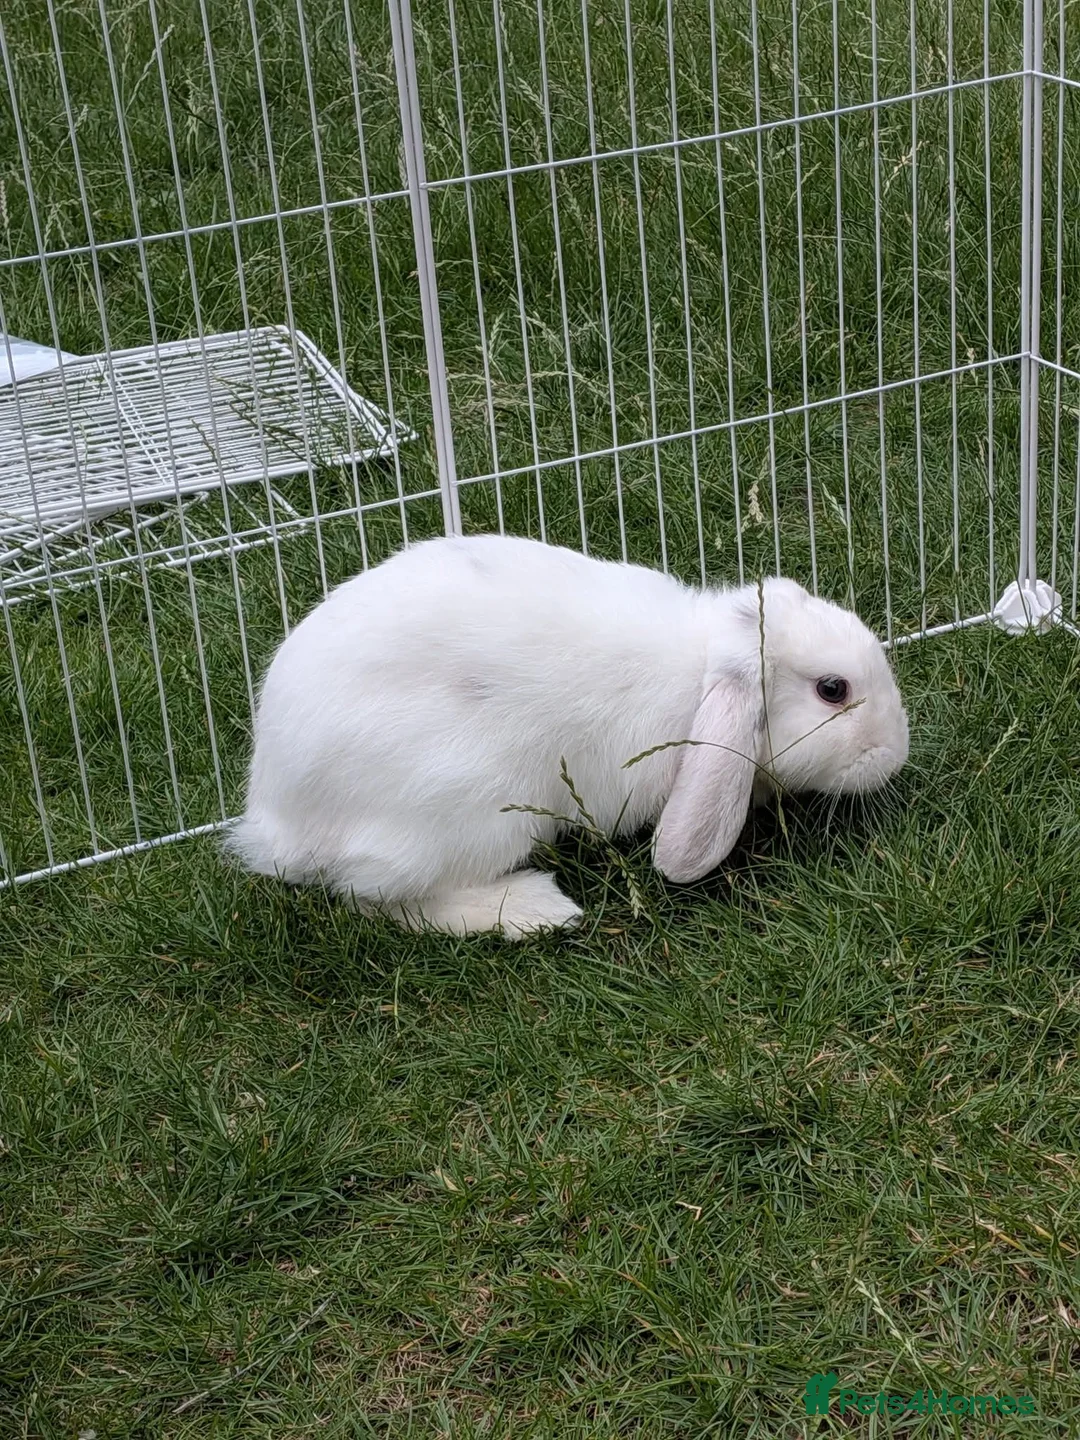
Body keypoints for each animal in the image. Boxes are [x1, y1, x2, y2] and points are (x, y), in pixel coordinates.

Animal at [227, 534, 909, 938]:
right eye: (832, 690)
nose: (895, 755)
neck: (700, 672)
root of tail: (276, 823)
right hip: (472, 816)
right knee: (382, 897)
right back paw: (535, 909)